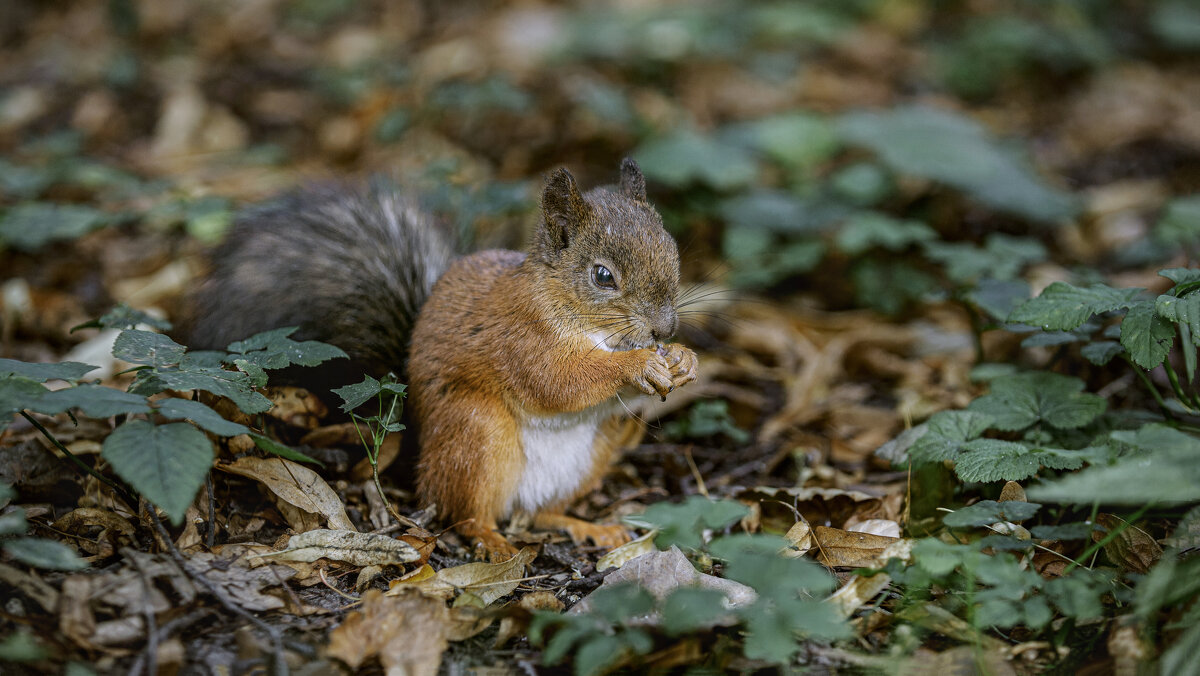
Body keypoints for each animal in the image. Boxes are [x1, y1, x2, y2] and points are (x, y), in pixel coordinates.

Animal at [182, 158, 700, 554]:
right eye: (602, 276)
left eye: (673, 250)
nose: (664, 328)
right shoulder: (520, 338)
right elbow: (557, 382)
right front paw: (638, 365)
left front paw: (682, 359)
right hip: (479, 434)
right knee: (466, 514)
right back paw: (493, 541)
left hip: (593, 455)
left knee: (542, 516)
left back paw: (589, 526)